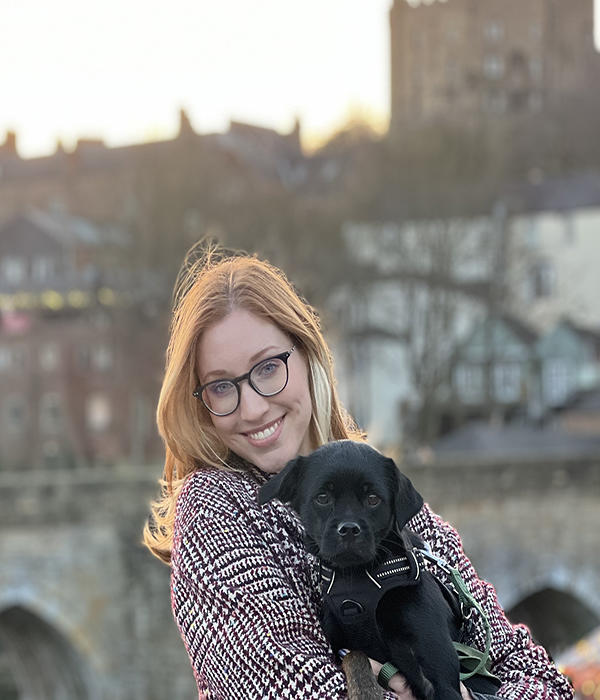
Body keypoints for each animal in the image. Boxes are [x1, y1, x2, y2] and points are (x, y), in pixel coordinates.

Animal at [258, 440, 464, 700]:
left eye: (373, 499)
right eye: (322, 497)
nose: (348, 529)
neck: (358, 579)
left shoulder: (441, 680)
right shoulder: (340, 646)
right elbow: (355, 656)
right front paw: (367, 691)